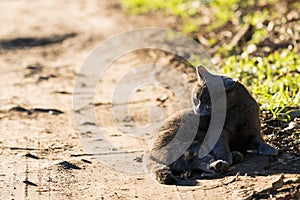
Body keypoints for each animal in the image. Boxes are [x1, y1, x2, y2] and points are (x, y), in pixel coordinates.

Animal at [144, 65, 278, 184]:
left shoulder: (253, 131)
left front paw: (271, 149)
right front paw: (226, 157)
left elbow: (258, 141)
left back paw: (233, 157)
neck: (236, 110)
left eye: (209, 104)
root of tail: (147, 153)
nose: (198, 110)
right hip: (190, 145)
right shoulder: (219, 133)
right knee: (196, 161)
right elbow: (221, 146)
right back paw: (223, 163)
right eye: (196, 99)